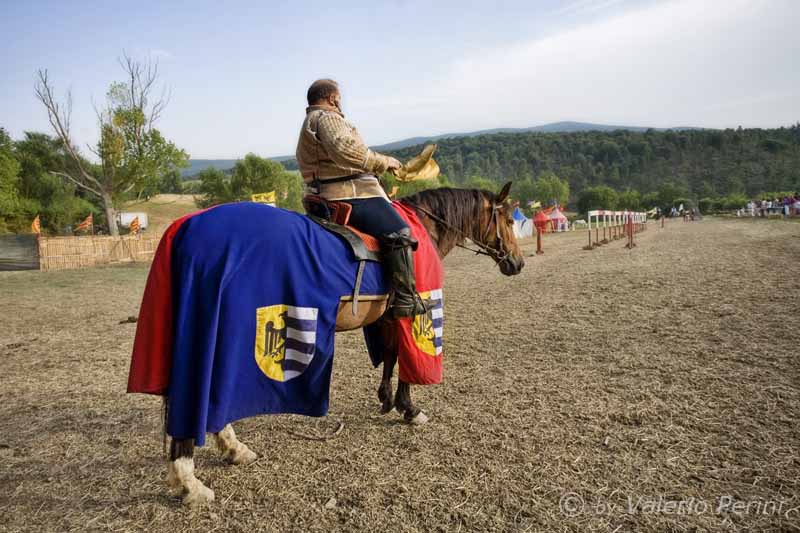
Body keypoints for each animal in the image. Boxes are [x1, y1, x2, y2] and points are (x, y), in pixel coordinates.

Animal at [164, 180, 524, 502]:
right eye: (508, 220)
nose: (517, 263)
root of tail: (187, 227)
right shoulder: (409, 312)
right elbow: (404, 360)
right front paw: (408, 408)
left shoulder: (386, 317)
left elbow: (390, 355)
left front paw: (386, 399)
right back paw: (191, 480)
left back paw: (233, 450)